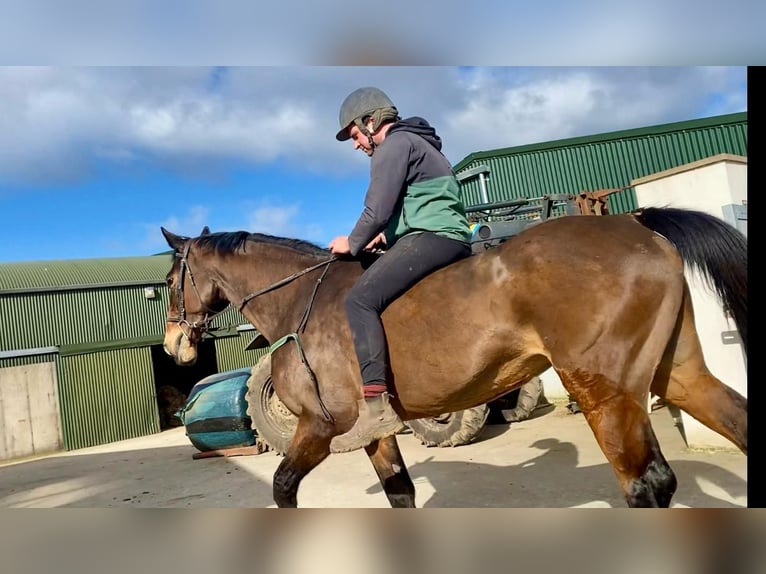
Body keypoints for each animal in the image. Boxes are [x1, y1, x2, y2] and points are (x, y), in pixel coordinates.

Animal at [160, 206, 747, 508]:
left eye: (168, 281)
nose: (173, 346)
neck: (300, 300)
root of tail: (635, 220)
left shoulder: (318, 427)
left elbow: (282, 488)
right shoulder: (373, 433)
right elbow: (399, 493)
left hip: (605, 392)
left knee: (645, 486)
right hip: (678, 374)